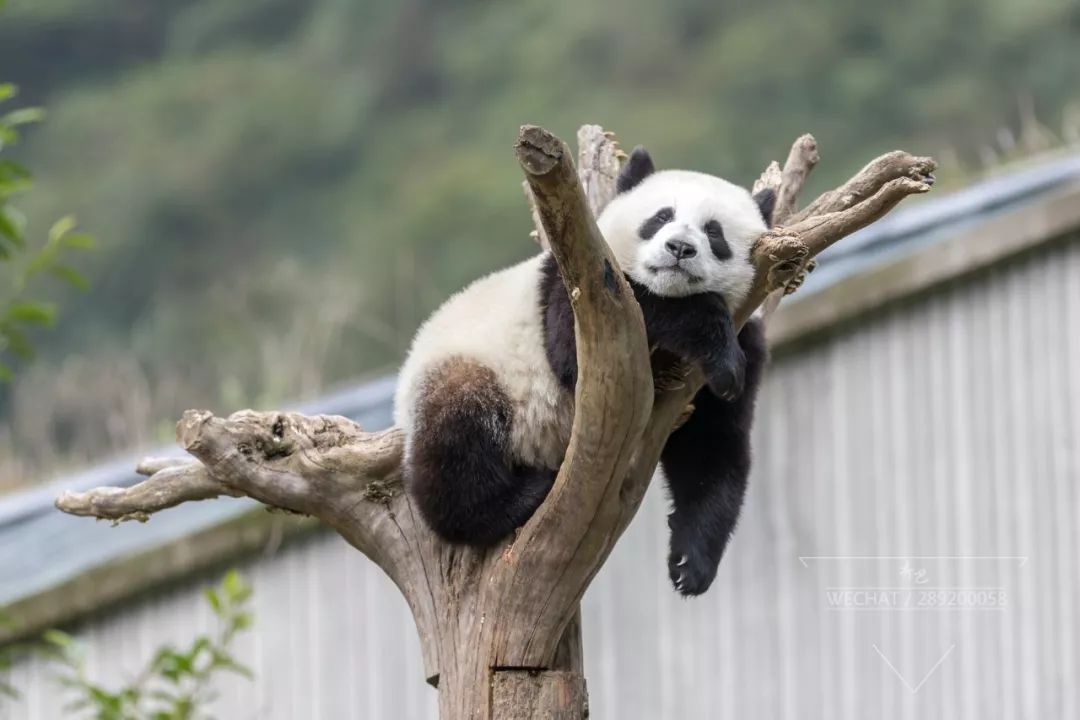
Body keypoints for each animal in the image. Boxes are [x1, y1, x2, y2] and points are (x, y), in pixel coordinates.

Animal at [393, 147, 773, 595]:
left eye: (714, 233)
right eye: (661, 217)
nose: (680, 247)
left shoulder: (744, 339)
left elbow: (712, 443)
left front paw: (690, 563)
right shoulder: (581, 289)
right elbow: (576, 348)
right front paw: (713, 340)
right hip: (469, 367)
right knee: (459, 440)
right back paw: (519, 496)